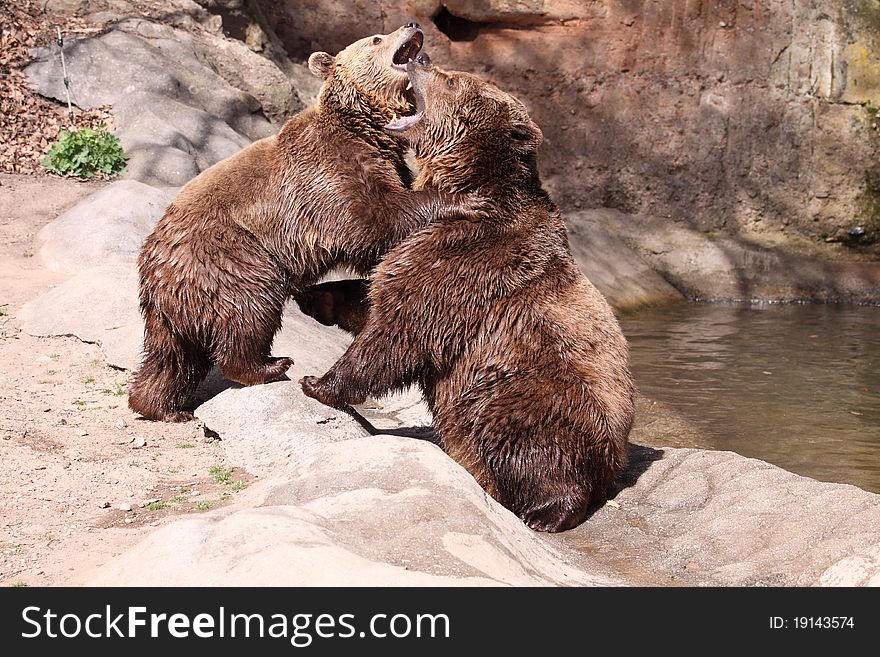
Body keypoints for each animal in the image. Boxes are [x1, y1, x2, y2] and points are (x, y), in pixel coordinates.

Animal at [300, 61, 636, 532]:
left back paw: (545, 512)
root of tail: (614, 459)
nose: (418, 60)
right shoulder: (421, 239)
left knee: (523, 434)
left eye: (452, 80)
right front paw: (315, 296)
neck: (466, 186)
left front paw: (318, 383)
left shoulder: (469, 261)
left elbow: (399, 332)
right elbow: (374, 292)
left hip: (534, 390)